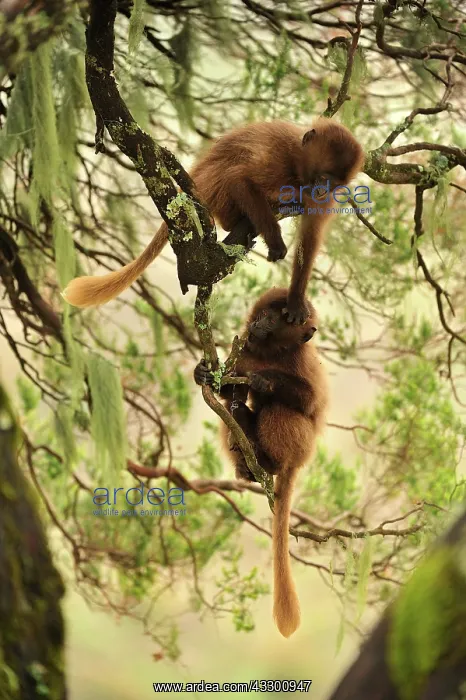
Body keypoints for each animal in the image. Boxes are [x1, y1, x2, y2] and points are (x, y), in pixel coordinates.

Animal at [63, 118, 364, 323]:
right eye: (323, 177)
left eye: (333, 183)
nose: (323, 190)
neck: (299, 166)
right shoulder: (279, 160)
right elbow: (239, 178)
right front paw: (275, 241)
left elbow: (311, 235)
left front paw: (295, 300)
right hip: (209, 189)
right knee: (229, 172)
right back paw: (241, 221)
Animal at [193, 288, 328, 637]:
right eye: (261, 315)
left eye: (271, 319)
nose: (255, 325)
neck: (272, 353)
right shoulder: (245, 351)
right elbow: (225, 388)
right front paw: (202, 373)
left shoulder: (300, 359)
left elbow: (309, 401)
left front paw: (265, 380)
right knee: (233, 407)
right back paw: (245, 456)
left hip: (300, 444)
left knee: (277, 409)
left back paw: (268, 461)